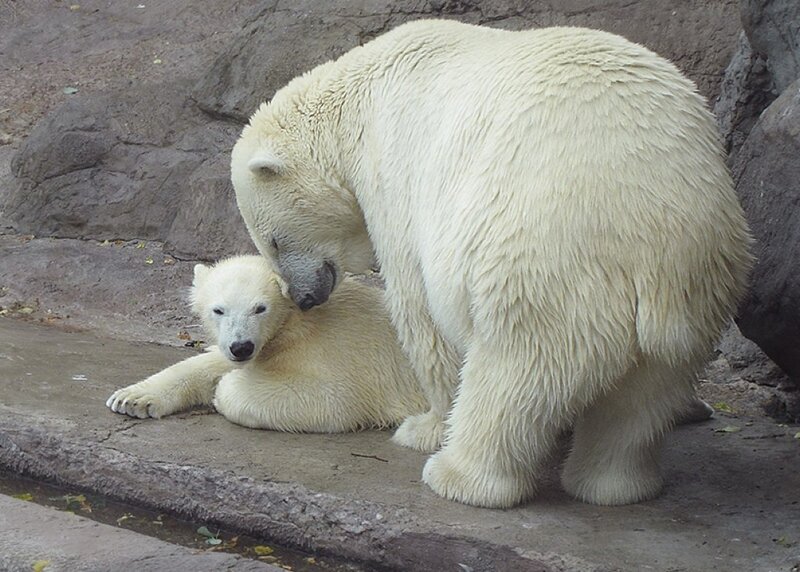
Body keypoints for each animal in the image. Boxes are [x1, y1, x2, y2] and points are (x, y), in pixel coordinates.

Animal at [107, 255, 427, 431]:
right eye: (218, 310)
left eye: (260, 308)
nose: (241, 347)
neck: (298, 319)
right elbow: (208, 362)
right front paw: (132, 399)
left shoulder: (341, 350)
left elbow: (334, 399)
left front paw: (226, 386)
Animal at [229, 20, 753, 508]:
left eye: (273, 241)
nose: (304, 298)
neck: (357, 98)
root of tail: (650, 233)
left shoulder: (397, 169)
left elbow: (420, 305)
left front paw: (424, 426)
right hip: (702, 278)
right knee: (644, 394)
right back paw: (614, 485)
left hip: (540, 258)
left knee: (515, 366)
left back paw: (459, 475)